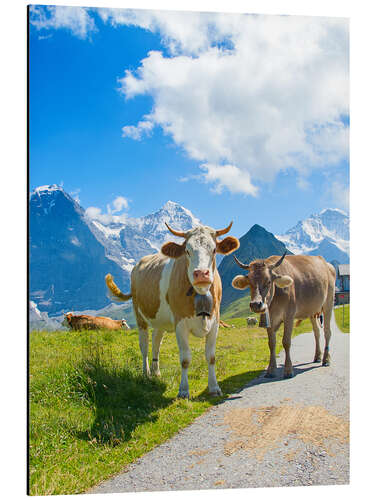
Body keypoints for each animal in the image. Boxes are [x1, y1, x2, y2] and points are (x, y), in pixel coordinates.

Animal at [106, 223, 241, 398]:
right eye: (187, 251)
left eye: (213, 250)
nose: (201, 274)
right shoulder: (180, 324)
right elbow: (185, 359)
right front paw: (183, 390)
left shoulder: (215, 322)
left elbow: (211, 357)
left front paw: (214, 388)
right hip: (139, 315)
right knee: (144, 346)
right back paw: (146, 373)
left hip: (160, 320)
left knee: (156, 342)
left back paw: (156, 372)